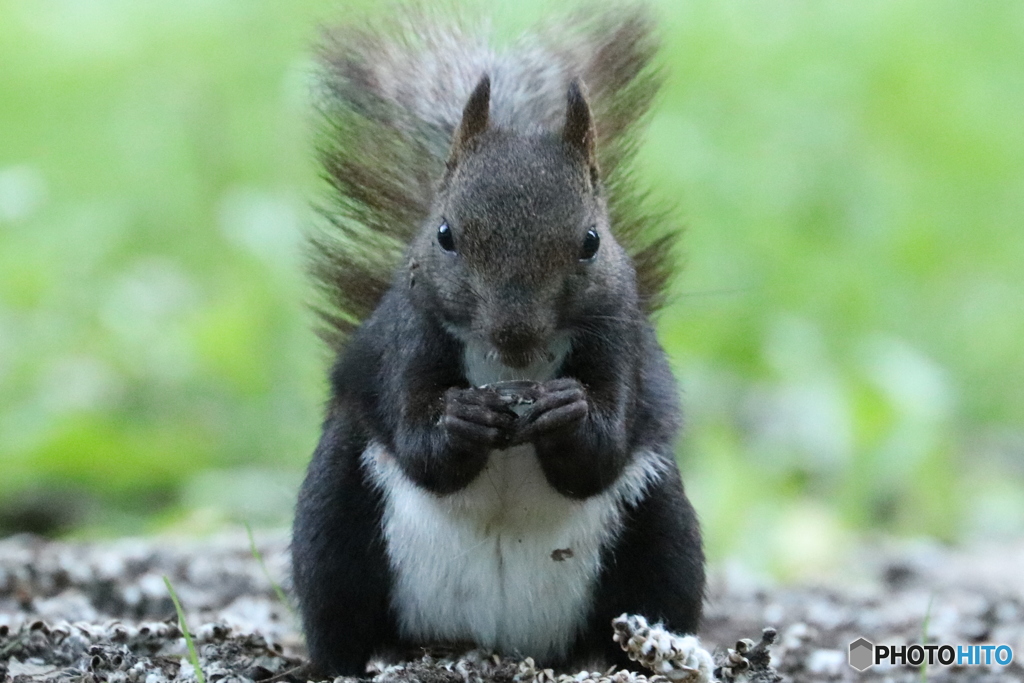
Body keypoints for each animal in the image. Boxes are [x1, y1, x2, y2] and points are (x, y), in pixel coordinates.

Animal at [288, 2, 704, 679]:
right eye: (445, 235)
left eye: (591, 241)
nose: (514, 332)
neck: (511, 369)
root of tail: (497, 641)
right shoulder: (408, 340)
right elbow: (421, 449)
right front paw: (461, 419)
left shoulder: (622, 346)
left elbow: (601, 456)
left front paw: (569, 410)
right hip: (334, 518)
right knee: (337, 612)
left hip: (663, 532)